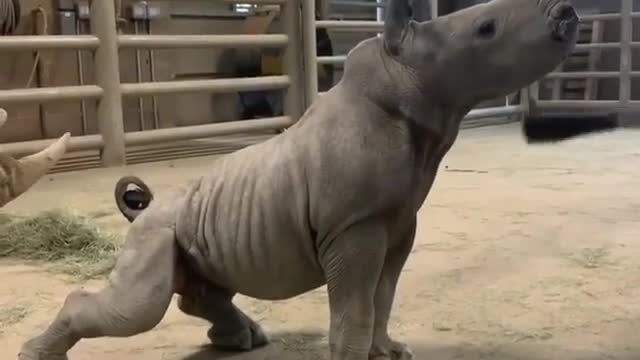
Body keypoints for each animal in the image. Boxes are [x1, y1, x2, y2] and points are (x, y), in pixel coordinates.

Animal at [20, 0, 580, 360]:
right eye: (486, 28)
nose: (566, 15)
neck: (404, 76)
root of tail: (146, 207)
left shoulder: (399, 221)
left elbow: (384, 294)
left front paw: (391, 351)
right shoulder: (354, 228)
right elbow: (355, 305)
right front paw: (355, 356)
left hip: (188, 226)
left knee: (198, 286)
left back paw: (245, 340)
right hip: (155, 233)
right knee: (139, 310)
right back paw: (35, 354)